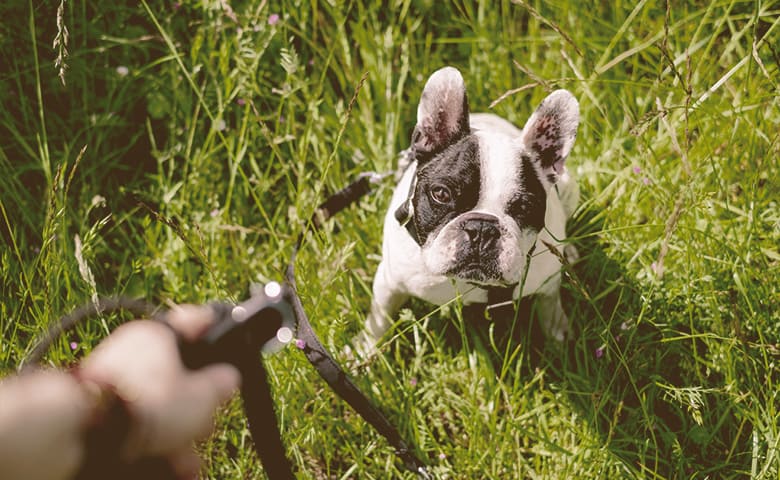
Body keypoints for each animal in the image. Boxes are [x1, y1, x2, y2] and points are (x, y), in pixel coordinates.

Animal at [362, 64, 580, 348]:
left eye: (524, 207)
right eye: (441, 194)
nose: (482, 228)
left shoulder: (548, 283)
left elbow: (550, 307)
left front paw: (560, 338)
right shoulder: (388, 283)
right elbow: (378, 320)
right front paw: (362, 349)